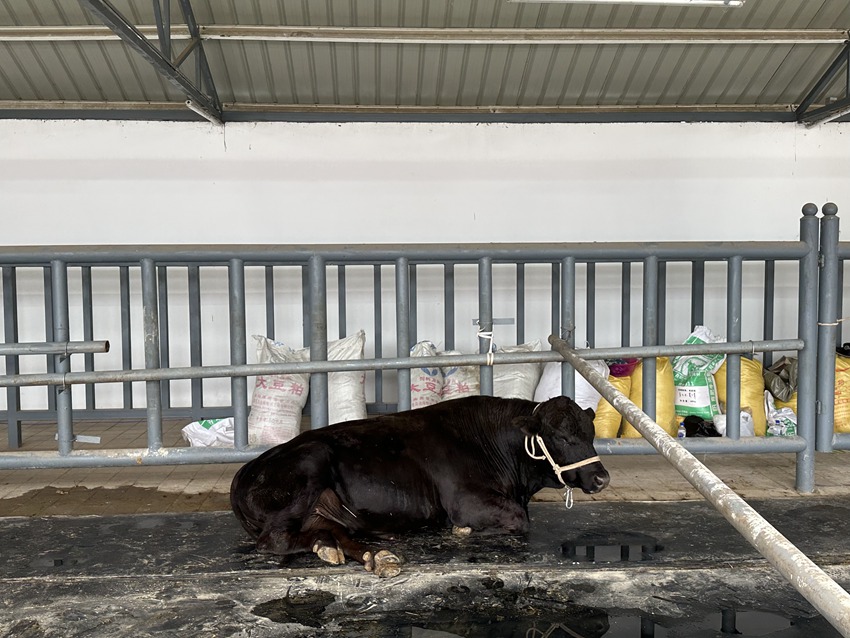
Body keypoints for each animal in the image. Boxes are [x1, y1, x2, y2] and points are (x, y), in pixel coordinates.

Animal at [230, 394, 609, 578]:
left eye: (590, 434)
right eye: (562, 436)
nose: (602, 477)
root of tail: (247, 468)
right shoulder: (466, 501)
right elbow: (519, 519)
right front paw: (461, 531)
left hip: (327, 506)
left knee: (330, 531)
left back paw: (372, 554)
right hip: (308, 468)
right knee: (276, 539)